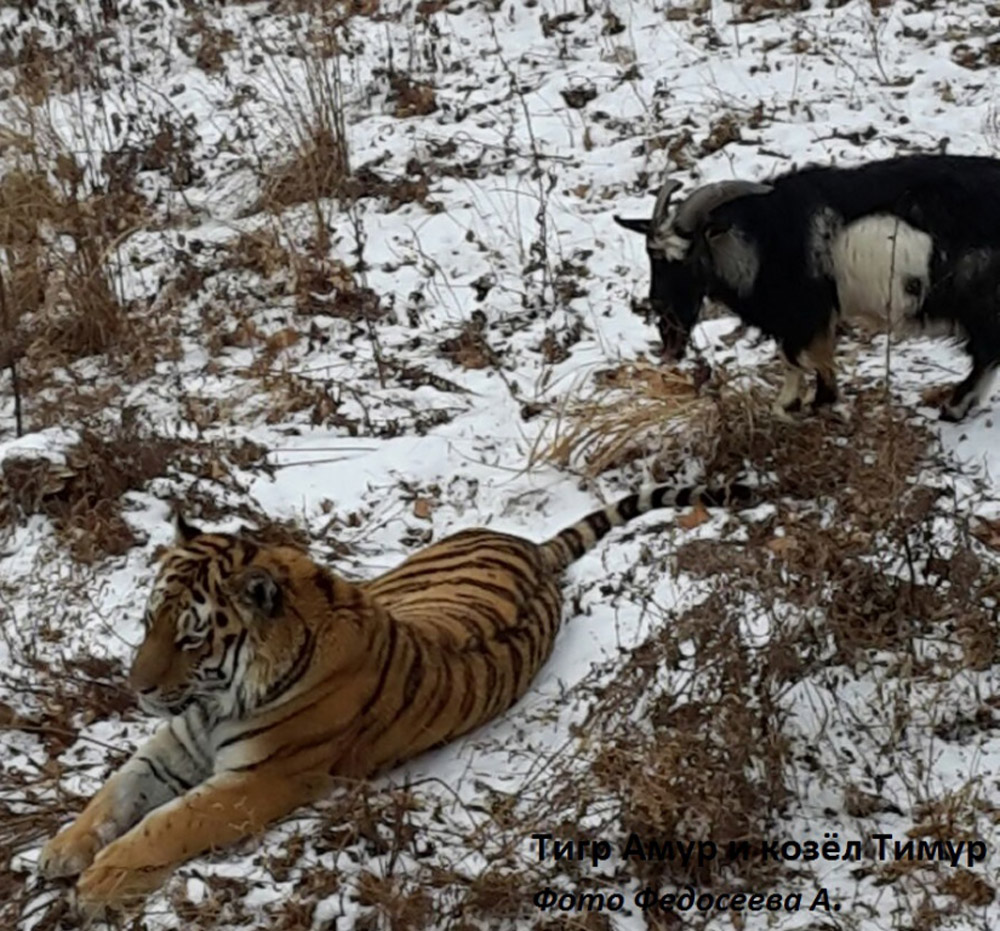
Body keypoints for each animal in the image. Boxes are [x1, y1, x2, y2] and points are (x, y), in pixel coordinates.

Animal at [38, 476, 753, 916]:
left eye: (190, 637)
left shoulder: (259, 780)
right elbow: (115, 793)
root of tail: (526, 545)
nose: (136, 688)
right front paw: (62, 850)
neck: (216, 700)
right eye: (147, 622)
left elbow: (167, 823)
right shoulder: (172, 745)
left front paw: (100, 880)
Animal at [614, 154, 1000, 421]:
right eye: (652, 256)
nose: (663, 314)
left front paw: (803, 403)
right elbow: (801, 358)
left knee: (986, 352)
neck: (763, 238)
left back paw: (954, 408)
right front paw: (803, 400)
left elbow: (799, 357)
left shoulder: (804, 312)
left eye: (689, 257)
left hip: (977, 298)